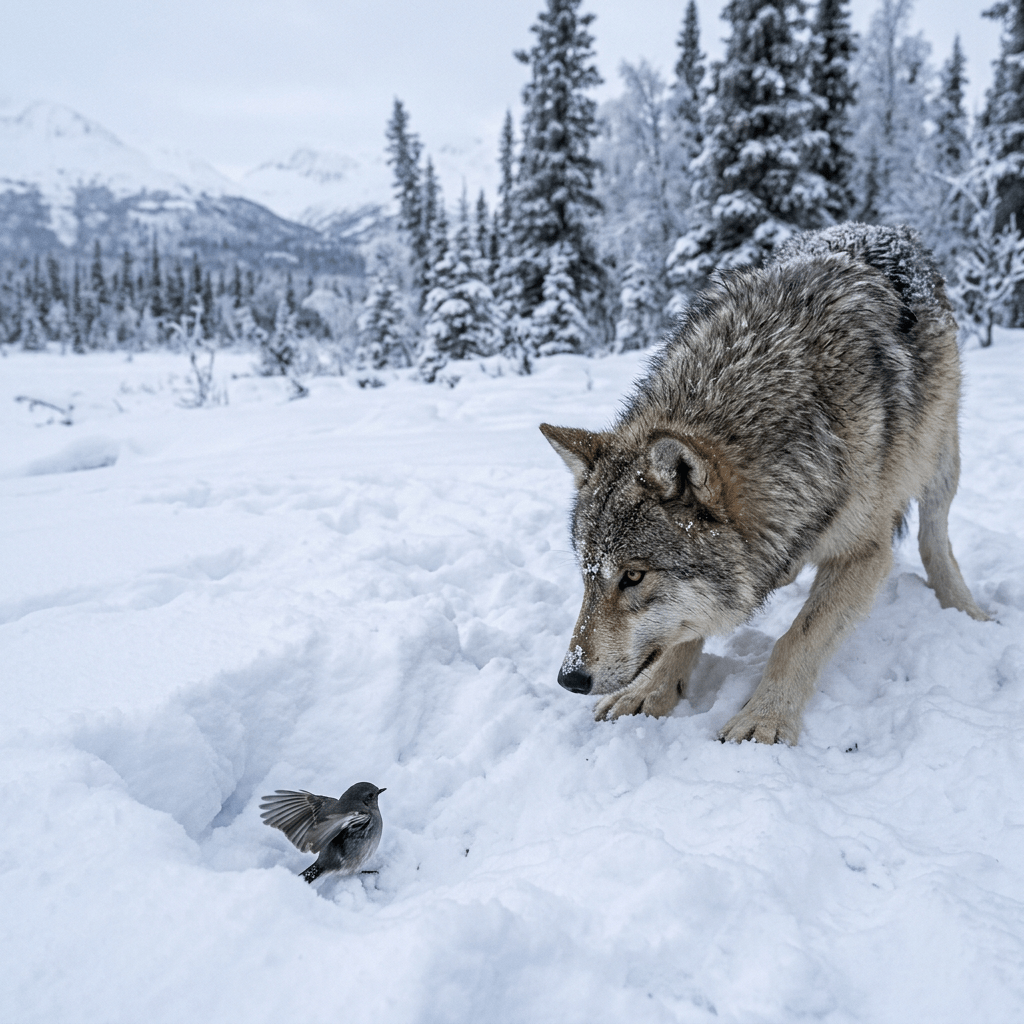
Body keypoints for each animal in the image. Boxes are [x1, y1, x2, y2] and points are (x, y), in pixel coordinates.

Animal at [541, 224, 988, 745]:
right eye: (587, 575)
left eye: (633, 576)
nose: (569, 679)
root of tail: (886, 229)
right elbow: (685, 628)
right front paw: (652, 690)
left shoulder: (863, 553)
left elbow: (798, 639)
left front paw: (765, 718)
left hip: (938, 458)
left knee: (934, 537)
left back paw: (966, 610)